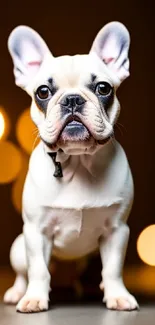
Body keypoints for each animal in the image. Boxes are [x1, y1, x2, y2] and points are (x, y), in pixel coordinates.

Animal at [3, 20, 139, 312]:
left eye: (103, 88)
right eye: (43, 92)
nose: (73, 99)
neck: (78, 161)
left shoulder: (117, 230)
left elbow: (113, 269)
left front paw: (118, 296)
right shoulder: (35, 231)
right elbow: (38, 270)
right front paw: (34, 298)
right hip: (18, 249)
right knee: (23, 272)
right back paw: (17, 292)